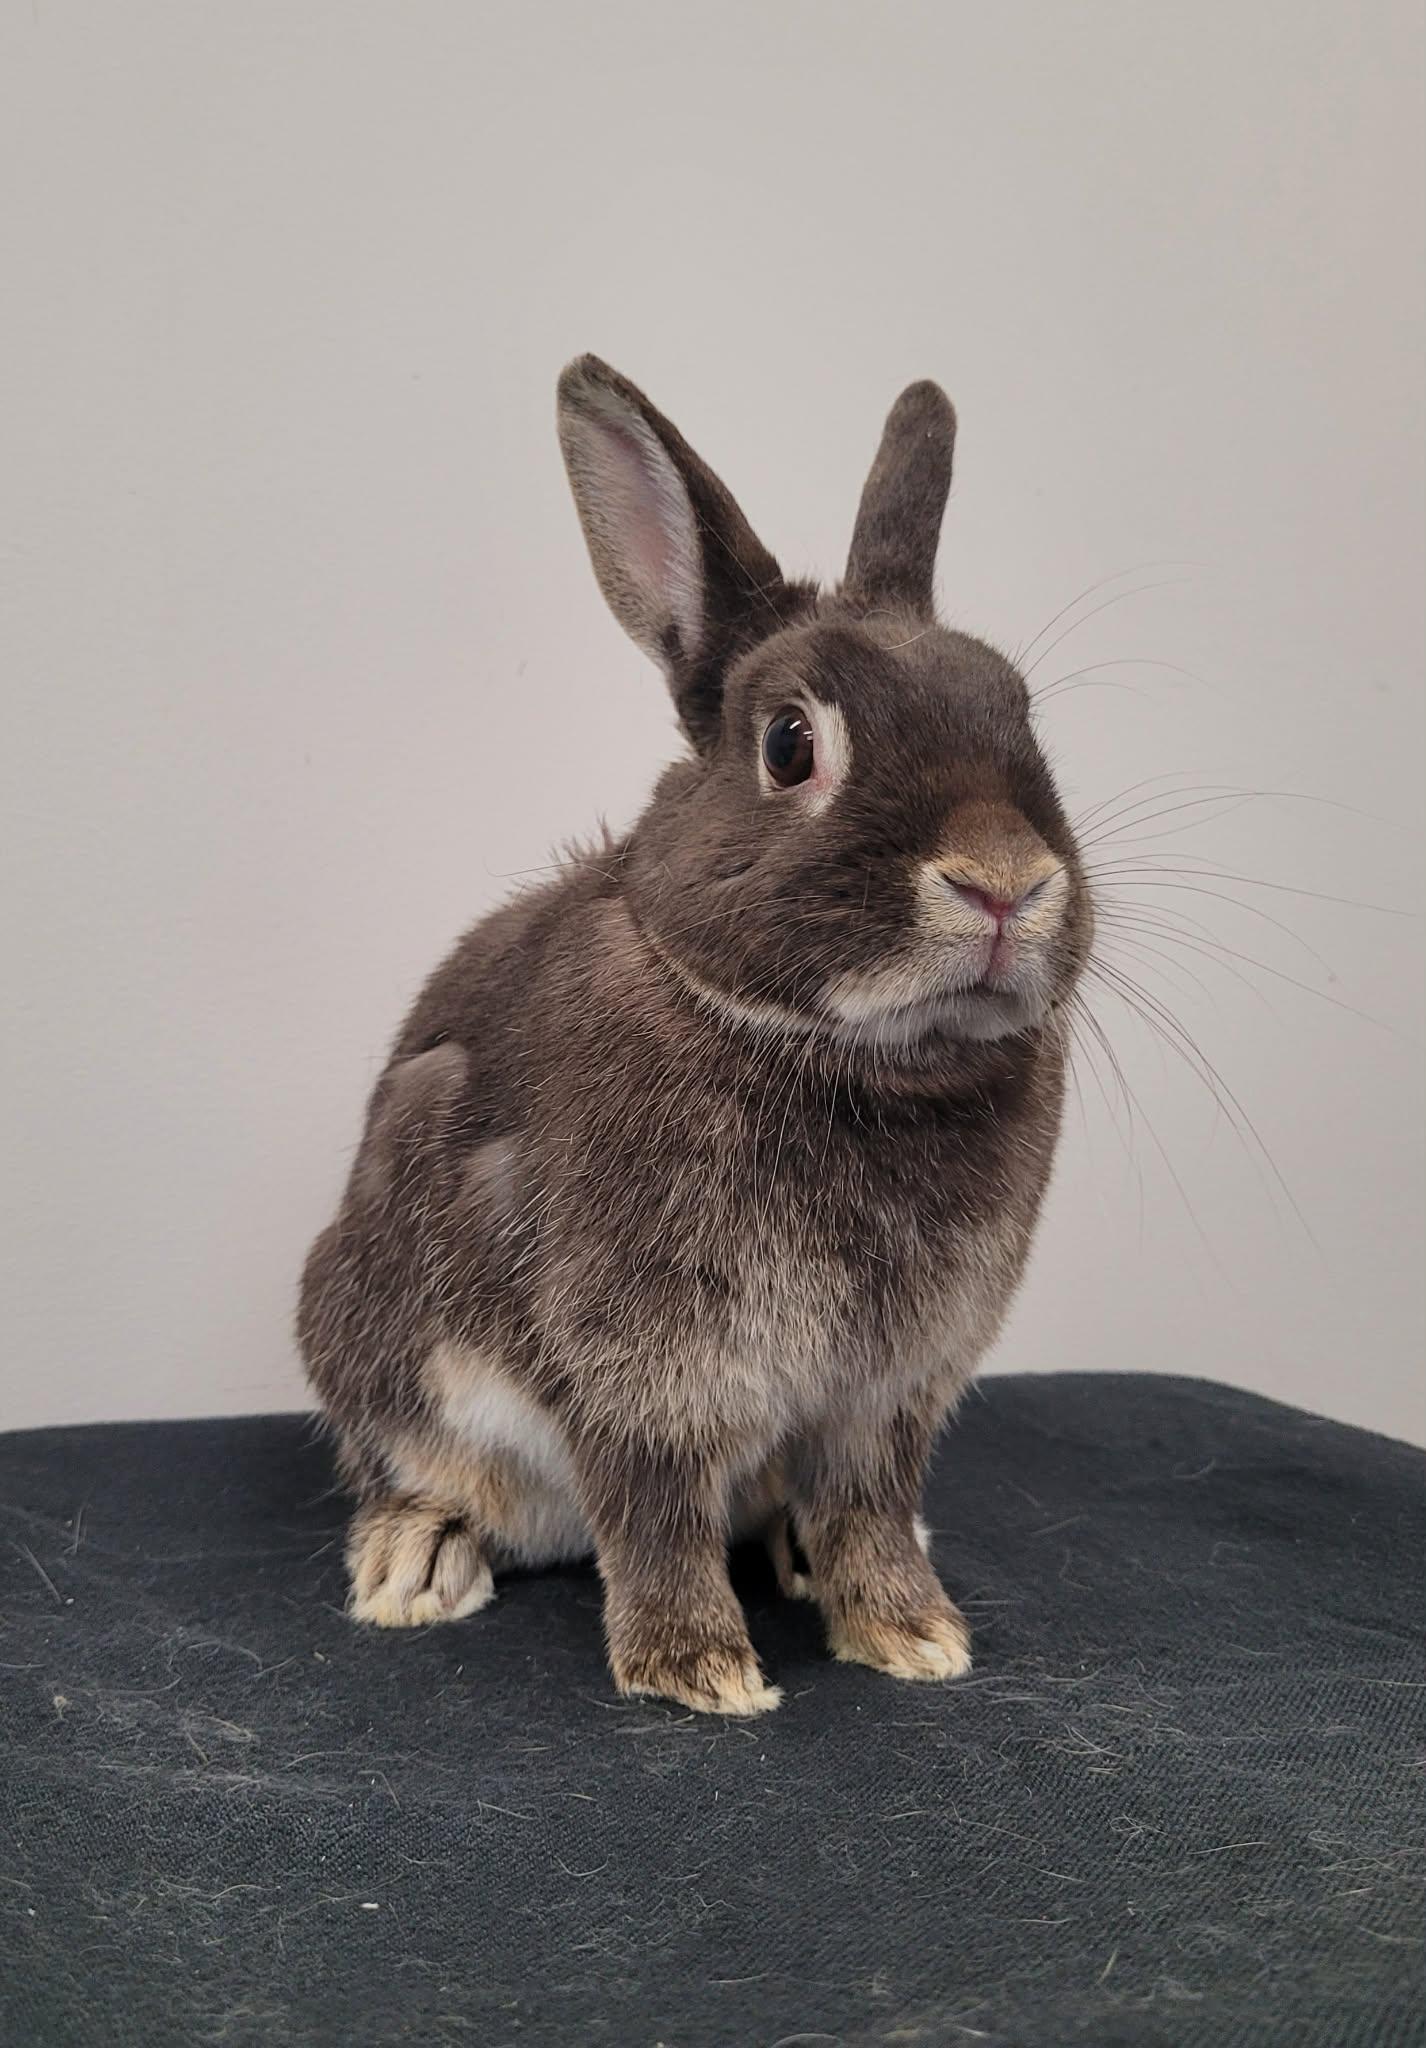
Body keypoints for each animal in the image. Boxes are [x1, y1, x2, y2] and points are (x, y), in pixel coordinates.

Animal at [298, 355, 1093, 1716]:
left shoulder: (891, 1390)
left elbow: (870, 1503)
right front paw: (699, 1669)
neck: (853, 1056)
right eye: (790, 742)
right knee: (420, 1463)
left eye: (1020, 712)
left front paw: (912, 1632)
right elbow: (658, 1502)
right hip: (370, 1313)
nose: (1003, 882)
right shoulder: (646, 1363)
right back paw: (418, 1559)